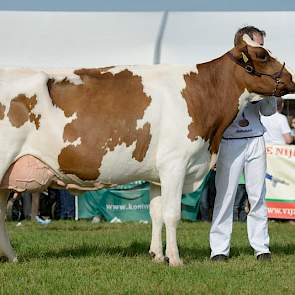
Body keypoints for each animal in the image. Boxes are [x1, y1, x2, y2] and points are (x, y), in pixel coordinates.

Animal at [0, 35, 294, 266]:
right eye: (262, 55)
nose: (291, 78)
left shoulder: (157, 173)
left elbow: (156, 214)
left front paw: (157, 255)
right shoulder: (174, 164)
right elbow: (172, 214)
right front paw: (175, 260)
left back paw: (12, 258)